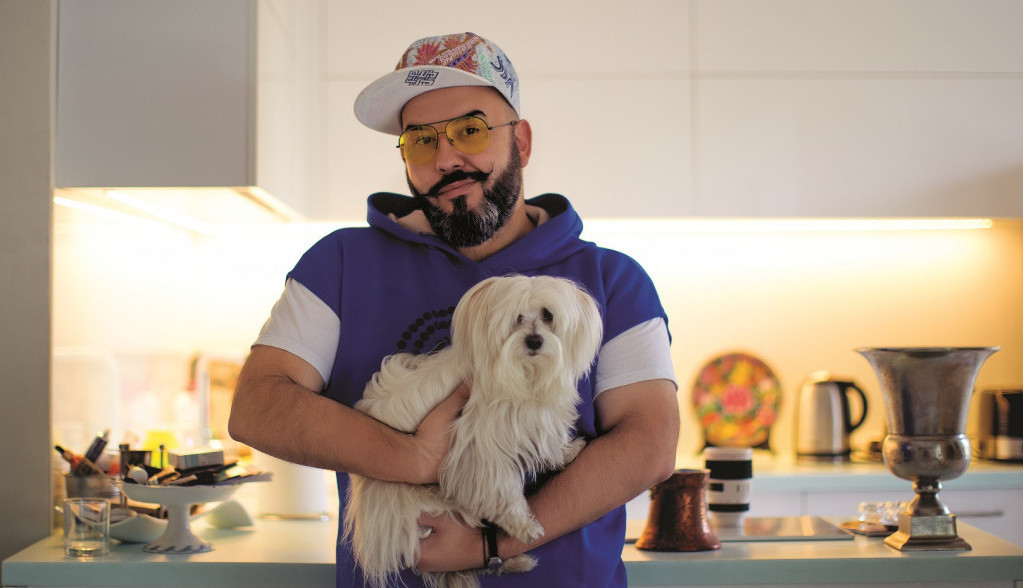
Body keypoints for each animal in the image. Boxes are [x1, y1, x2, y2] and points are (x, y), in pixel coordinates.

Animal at [343, 275, 603, 588]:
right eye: (516, 318)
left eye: (548, 315)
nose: (534, 340)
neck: (522, 376)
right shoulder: (480, 447)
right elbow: (502, 487)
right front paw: (522, 524)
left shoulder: (537, 420)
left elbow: (549, 442)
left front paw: (565, 452)